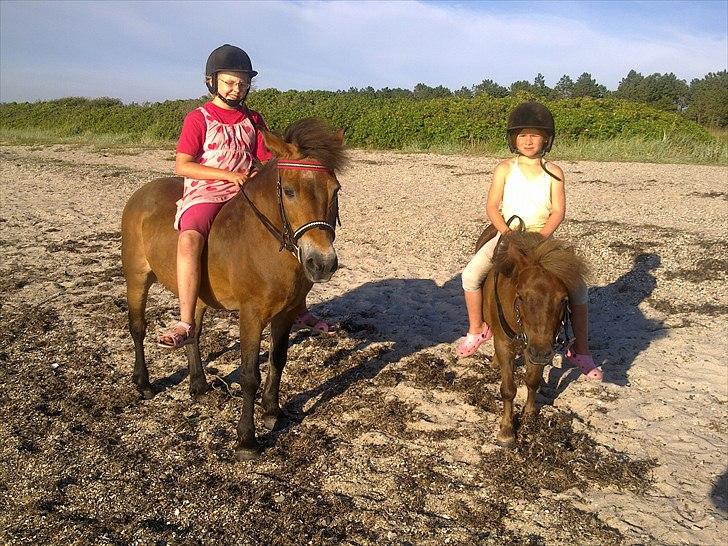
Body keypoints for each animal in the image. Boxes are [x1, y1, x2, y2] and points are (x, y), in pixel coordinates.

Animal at [119, 119, 346, 460]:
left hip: (196, 295)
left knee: (193, 331)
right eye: (289, 191)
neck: (264, 242)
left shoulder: (285, 314)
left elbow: (278, 360)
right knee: (137, 327)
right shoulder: (251, 315)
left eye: (335, 190)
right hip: (137, 278)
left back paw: (199, 386)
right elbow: (249, 374)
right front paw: (247, 440)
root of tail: (140, 194)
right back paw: (143, 383)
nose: (322, 263)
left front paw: (272, 411)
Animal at [478, 227, 592, 444]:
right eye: (521, 296)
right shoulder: (506, 344)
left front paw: (530, 414)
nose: (541, 353)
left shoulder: (537, 347)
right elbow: (508, 389)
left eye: (563, 299)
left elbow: (533, 380)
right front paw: (507, 430)